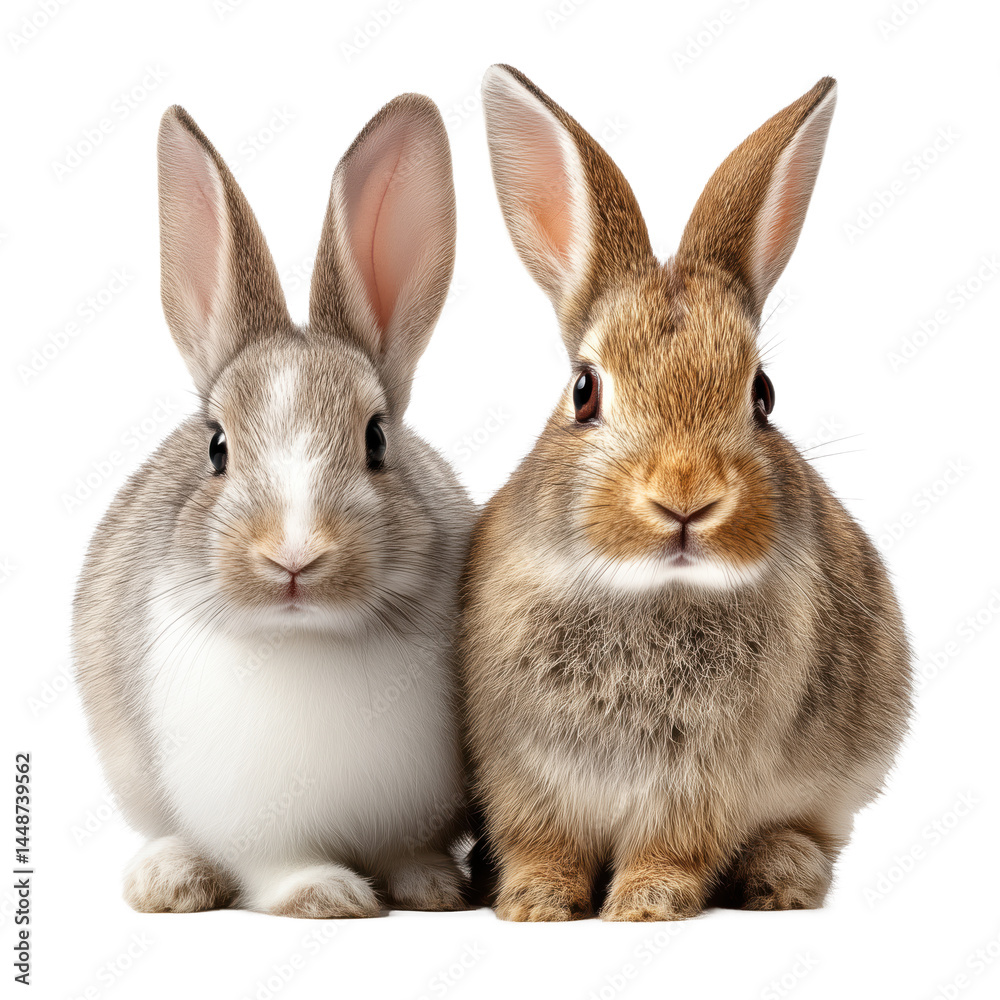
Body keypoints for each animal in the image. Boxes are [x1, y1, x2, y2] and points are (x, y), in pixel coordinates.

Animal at [72, 94, 476, 918]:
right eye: (218, 447)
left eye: (376, 439)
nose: (293, 554)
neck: (309, 636)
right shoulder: (254, 826)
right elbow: (277, 866)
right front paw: (325, 896)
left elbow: (407, 851)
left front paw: (432, 888)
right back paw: (169, 878)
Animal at [460, 66, 912, 922]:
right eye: (584, 391)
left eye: (763, 394)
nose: (685, 498)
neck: (649, 592)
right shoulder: (522, 769)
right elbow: (542, 841)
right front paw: (533, 903)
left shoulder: (703, 782)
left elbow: (673, 846)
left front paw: (644, 905)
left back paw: (779, 877)